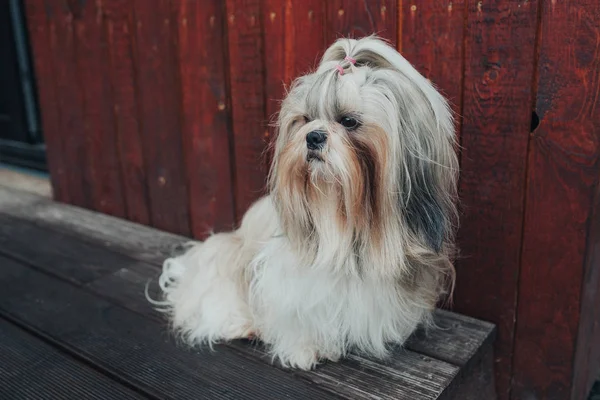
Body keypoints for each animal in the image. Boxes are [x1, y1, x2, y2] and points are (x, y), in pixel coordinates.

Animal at [151, 36, 460, 370]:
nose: (313, 136)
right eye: (305, 120)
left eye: (348, 121)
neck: (343, 220)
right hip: (225, 257)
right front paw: (305, 347)